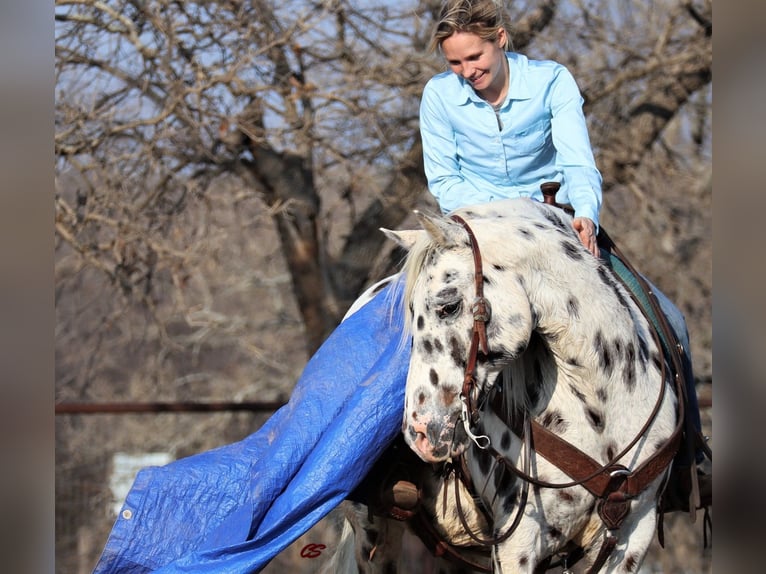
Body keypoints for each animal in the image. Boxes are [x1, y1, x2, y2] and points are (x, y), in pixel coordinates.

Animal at [336, 196, 704, 572]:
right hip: (374, 535)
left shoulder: (633, 535)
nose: (419, 432)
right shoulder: (519, 541)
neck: (602, 406)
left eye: (448, 306)